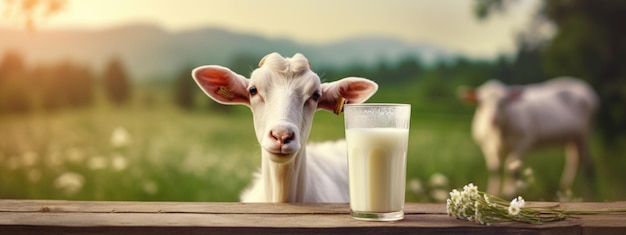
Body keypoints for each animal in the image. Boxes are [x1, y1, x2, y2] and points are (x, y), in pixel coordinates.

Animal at [458, 77, 596, 196]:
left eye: (504, 101)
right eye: (481, 103)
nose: (493, 119)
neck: (498, 134)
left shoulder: (523, 143)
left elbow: (512, 168)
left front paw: (510, 193)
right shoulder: (486, 145)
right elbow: (495, 169)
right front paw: (493, 193)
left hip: (585, 133)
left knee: (587, 165)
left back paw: (587, 194)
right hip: (573, 138)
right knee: (574, 160)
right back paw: (566, 188)